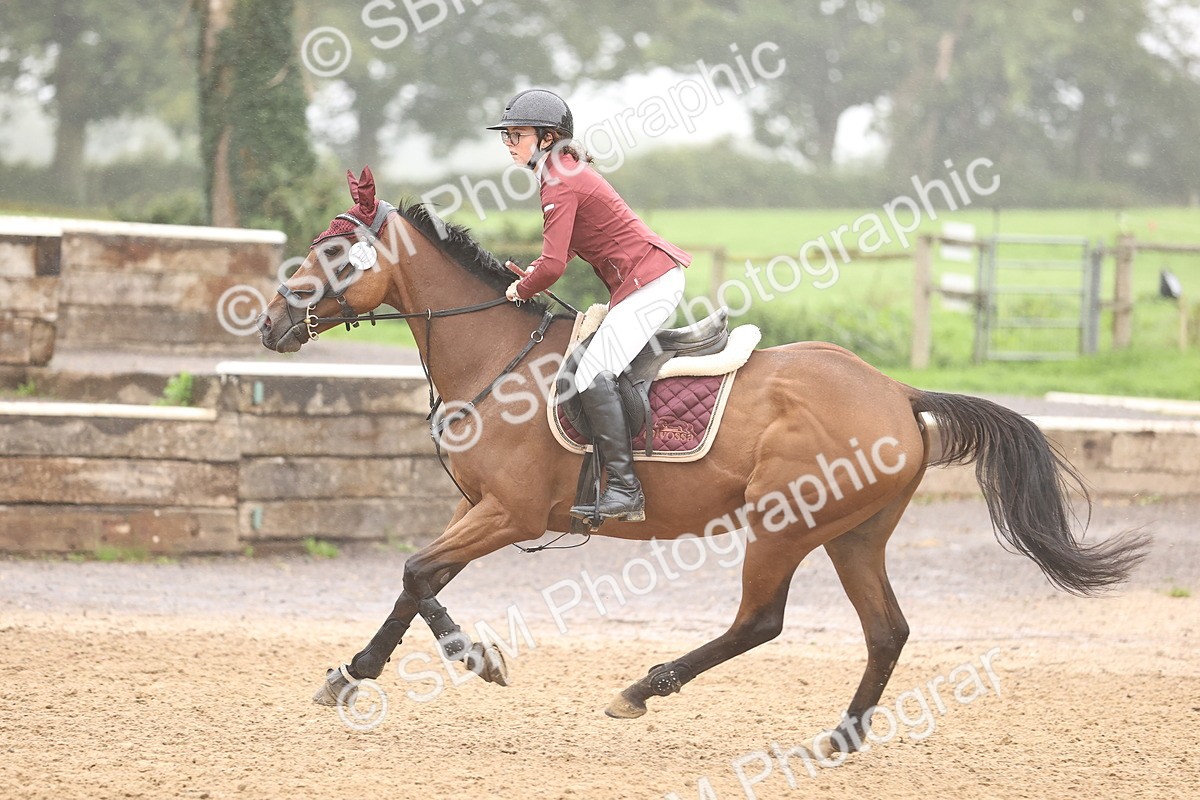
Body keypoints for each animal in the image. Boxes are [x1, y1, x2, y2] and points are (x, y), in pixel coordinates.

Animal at [256, 168, 1148, 752]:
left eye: (335, 257)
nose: (269, 325)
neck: (493, 358)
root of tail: (897, 390)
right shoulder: (474, 508)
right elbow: (419, 582)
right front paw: (365, 671)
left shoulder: (509, 513)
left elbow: (415, 574)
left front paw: (468, 660)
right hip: (855, 533)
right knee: (887, 630)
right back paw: (842, 736)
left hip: (785, 524)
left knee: (762, 621)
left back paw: (640, 690)